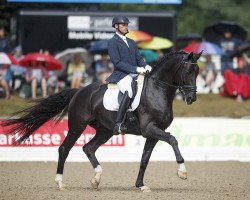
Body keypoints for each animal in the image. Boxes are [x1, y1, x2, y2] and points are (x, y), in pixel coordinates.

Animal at [2, 50, 201, 192]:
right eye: (188, 70)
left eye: (197, 71)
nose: (191, 98)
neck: (157, 90)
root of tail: (79, 91)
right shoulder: (149, 129)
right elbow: (173, 139)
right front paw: (182, 171)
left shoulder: (152, 134)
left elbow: (145, 158)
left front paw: (141, 185)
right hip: (77, 126)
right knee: (64, 149)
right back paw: (60, 183)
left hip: (105, 131)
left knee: (88, 148)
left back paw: (96, 178)